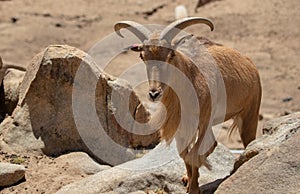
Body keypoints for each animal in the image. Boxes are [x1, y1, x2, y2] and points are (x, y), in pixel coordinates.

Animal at [113, 17, 262, 194]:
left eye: (171, 55)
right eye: (142, 56)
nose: (154, 93)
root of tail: (250, 64)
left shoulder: (204, 121)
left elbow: (198, 152)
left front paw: (194, 186)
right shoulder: (181, 126)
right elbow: (185, 154)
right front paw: (190, 180)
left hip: (249, 114)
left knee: (246, 141)